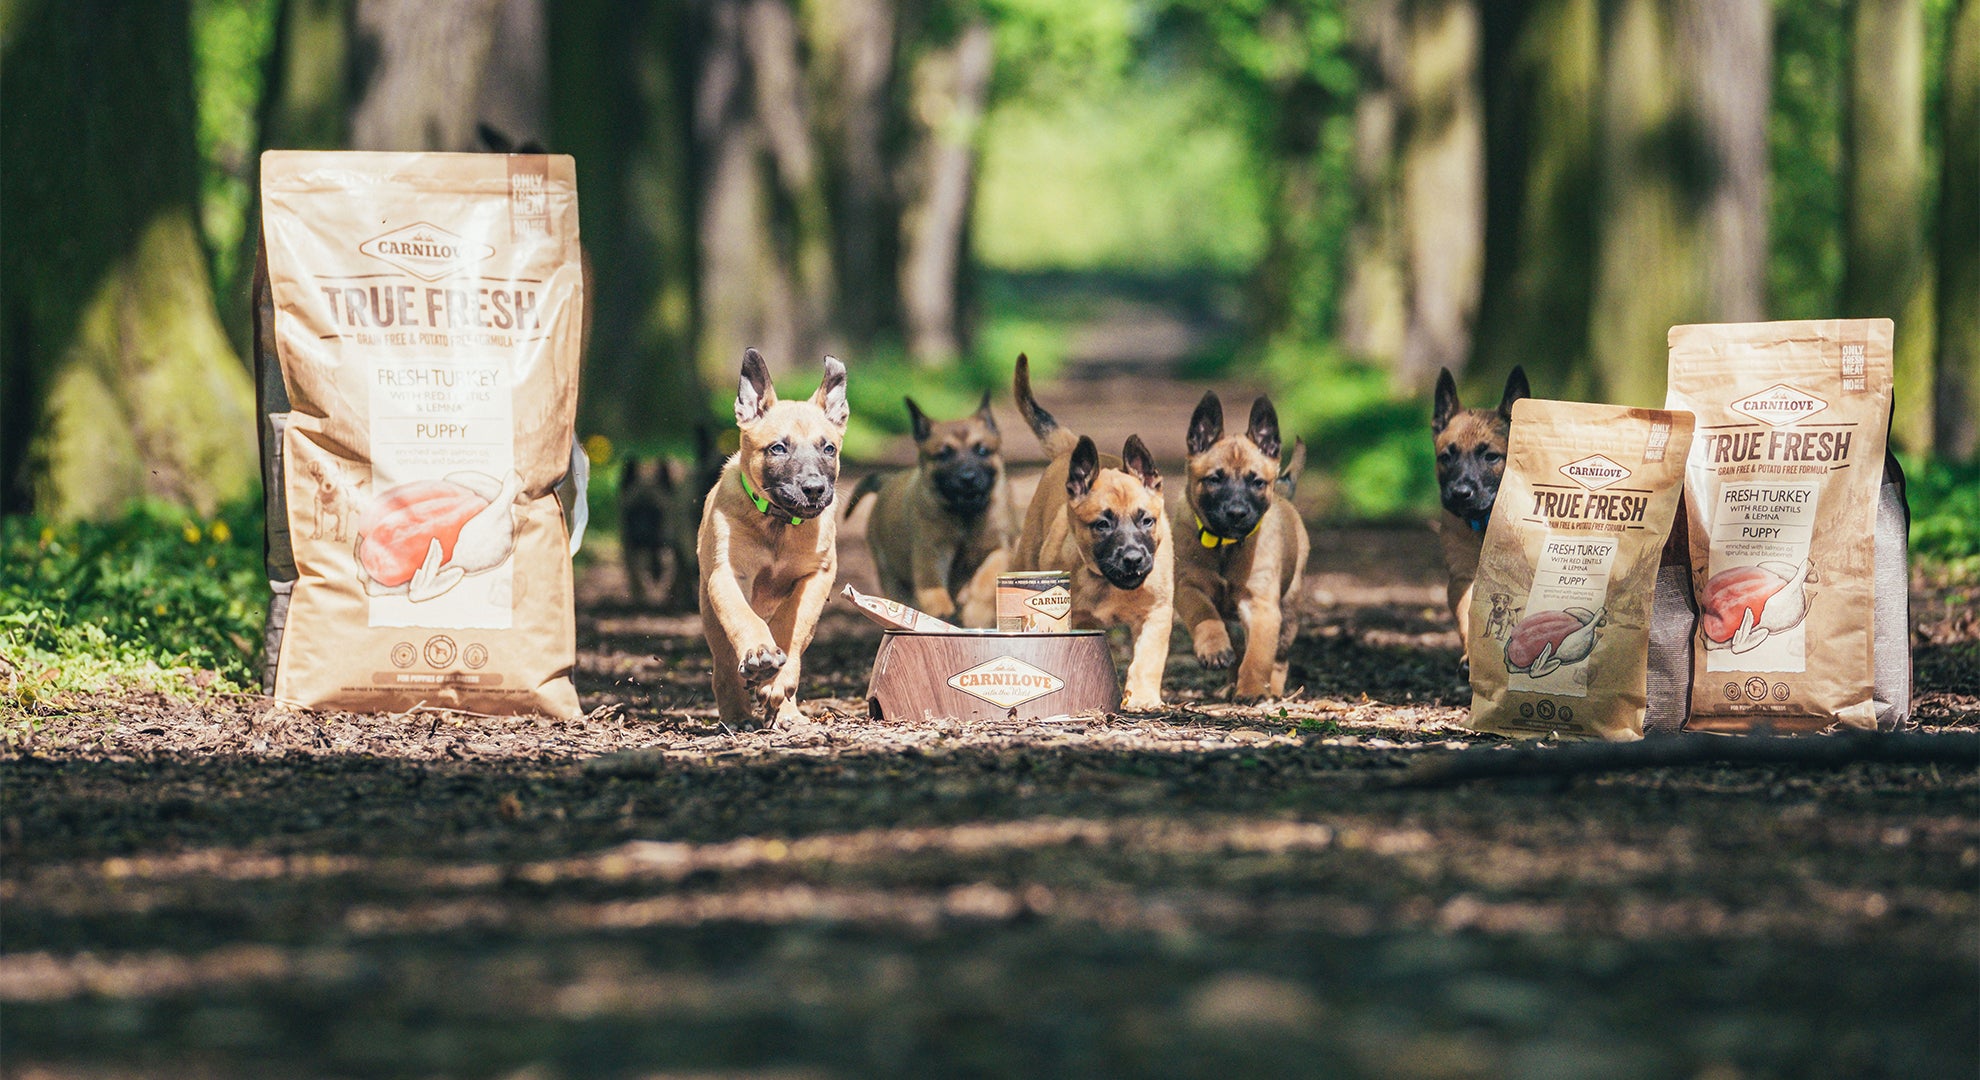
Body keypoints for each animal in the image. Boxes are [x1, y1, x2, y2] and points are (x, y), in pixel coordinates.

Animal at [700, 348, 847, 729]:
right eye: (778, 448)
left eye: (828, 449)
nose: (814, 489)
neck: (779, 523)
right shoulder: (729, 575)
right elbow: (743, 617)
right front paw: (761, 654)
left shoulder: (817, 577)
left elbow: (792, 623)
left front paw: (778, 682)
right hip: (711, 614)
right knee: (724, 665)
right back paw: (738, 714)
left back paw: (787, 713)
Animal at [843, 390, 1013, 622]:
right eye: (944, 454)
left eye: (982, 450)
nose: (968, 477)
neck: (964, 517)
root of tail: (887, 481)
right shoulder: (931, 555)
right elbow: (935, 595)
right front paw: (941, 615)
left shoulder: (997, 547)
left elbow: (985, 582)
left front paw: (974, 612)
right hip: (890, 573)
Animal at [1005, 350, 1172, 705]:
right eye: (1102, 525)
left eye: (1147, 520)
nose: (1134, 559)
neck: (1104, 582)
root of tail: (1069, 449)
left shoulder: (1156, 613)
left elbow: (1148, 659)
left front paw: (1143, 698)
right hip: (1026, 556)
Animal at [1172, 392, 1314, 701]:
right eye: (1214, 479)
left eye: (1257, 482)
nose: (1236, 512)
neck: (1224, 545)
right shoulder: (1188, 587)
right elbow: (1204, 614)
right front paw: (1213, 649)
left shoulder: (1261, 606)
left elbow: (1258, 656)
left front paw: (1251, 690)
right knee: (1236, 650)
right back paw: (1228, 684)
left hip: (1288, 614)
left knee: (1278, 660)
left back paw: (1270, 690)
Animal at [1433, 366, 1536, 661]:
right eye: (1446, 457)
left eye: (1491, 457)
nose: (1460, 493)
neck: (1486, 521)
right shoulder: (1463, 578)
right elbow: (1467, 616)